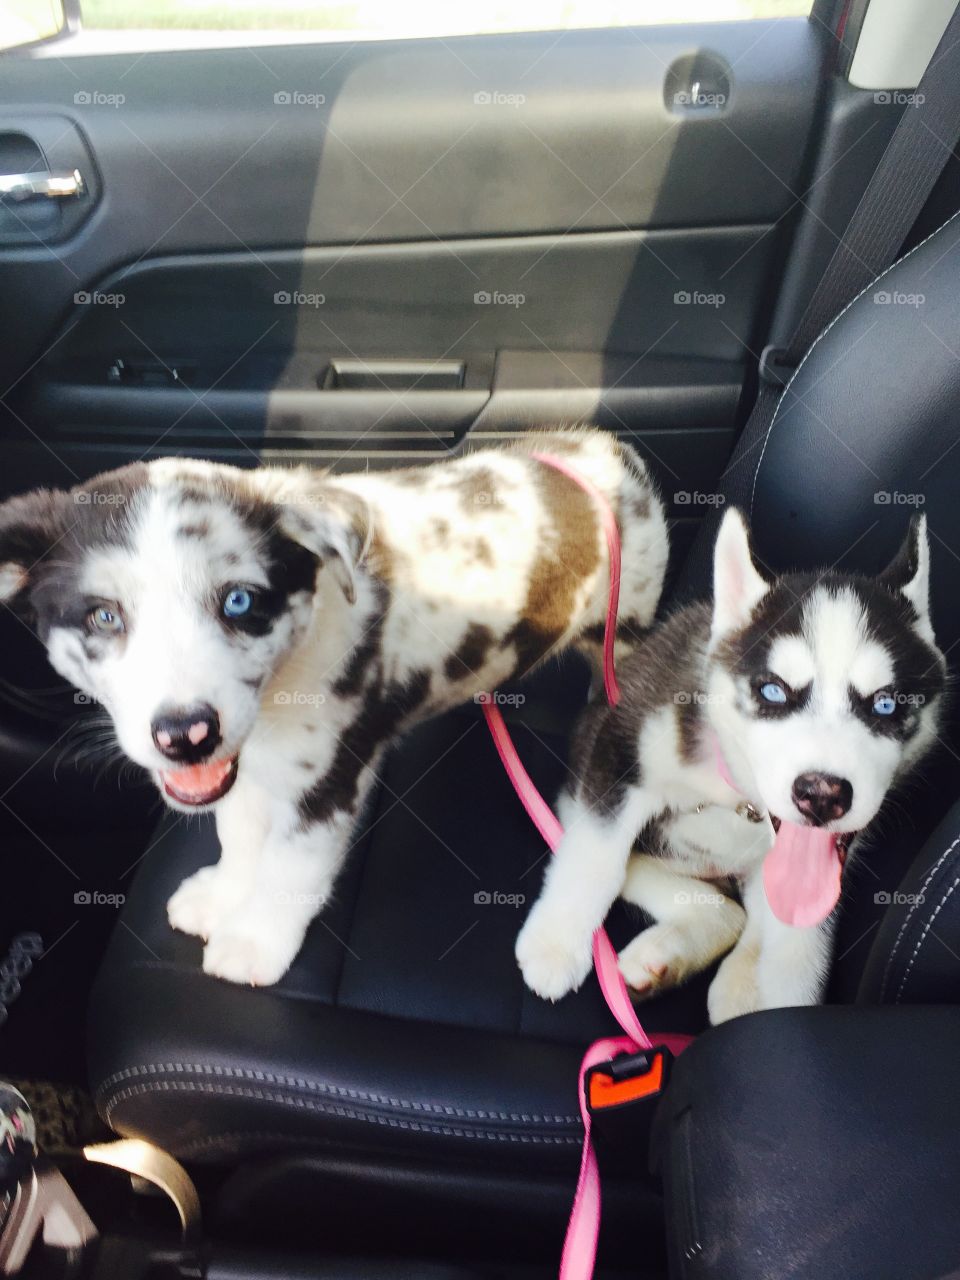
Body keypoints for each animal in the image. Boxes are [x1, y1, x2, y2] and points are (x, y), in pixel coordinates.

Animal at [0, 432, 670, 988]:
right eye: (103, 616)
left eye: (239, 601)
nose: (186, 735)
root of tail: (603, 448)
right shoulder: (247, 760)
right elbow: (237, 831)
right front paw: (223, 894)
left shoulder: (331, 780)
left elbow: (291, 870)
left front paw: (254, 941)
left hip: (627, 625)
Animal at [519, 504, 947, 1024]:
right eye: (773, 691)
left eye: (885, 705)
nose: (822, 794)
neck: (740, 798)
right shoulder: (620, 751)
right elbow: (596, 858)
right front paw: (556, 944)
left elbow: (799, 940)